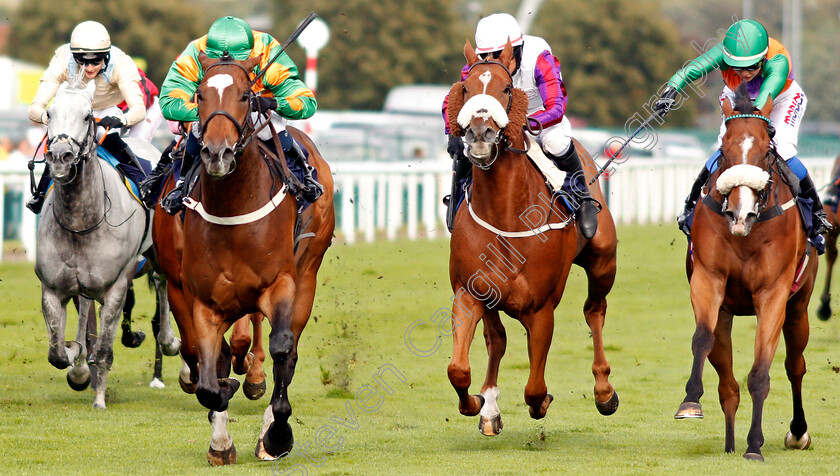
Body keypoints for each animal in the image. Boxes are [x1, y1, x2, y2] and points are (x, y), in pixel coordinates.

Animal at [34, 80, 179, 408]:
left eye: (88, 116)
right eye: (49, 113)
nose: (60, 156)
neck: (80, 220)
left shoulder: (117, 286)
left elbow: (104, 350)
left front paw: (99, 398)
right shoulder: (53, 288)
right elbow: (57, 352)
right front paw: (76, 362)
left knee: (163, 286)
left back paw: (171, 349)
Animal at [151, 53, 334, 464]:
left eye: (247, 95)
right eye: (200, 95)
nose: (217, 153)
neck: (233, 208)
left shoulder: (280, 284)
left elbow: (281, 346)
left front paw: (277, 435)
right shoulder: (197, 296)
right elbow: (207, 371)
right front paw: (220, 436)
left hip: (307, 275)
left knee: (288, 350)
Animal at [446, 41, 616, 436]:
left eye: (507, 89)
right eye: (466, 88)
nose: (479, 134)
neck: (506, 214)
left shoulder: (541, 309)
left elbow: (535, 388)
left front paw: (542, 402)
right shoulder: (470, 293)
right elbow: (458, 368)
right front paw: (477, 403)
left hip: (604, 260)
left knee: (594, 311)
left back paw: (604, 391)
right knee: (497, 341)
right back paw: (489, 408)